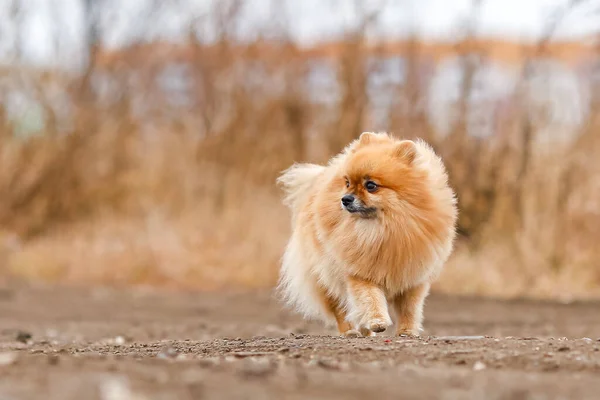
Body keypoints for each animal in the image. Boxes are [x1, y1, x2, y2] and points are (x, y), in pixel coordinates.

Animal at [278, 133, 458, 336]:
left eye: (371, 186)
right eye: (347, 183)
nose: (345, 199)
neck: (383, 230)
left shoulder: (413, 277)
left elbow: (409, 308)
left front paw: (406, 331)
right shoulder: (360, 272)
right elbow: (369, 298)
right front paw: (378, 321)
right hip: (326, 276)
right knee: (340, 308)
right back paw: (350, 332)